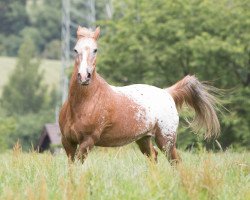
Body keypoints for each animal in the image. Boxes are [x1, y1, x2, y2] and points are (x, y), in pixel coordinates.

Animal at [59, 25, 221, 165]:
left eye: (95, 50)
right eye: (75, 50)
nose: (84, 77)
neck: (84, 104)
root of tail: (167, 93)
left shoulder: (87, 142)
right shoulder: (68, 143)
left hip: (166, 140)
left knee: (175, 161)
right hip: (144, 139)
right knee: (153, 156)